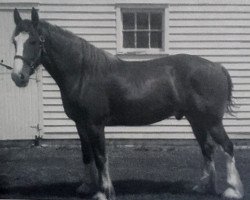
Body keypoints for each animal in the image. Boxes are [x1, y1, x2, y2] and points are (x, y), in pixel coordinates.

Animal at [10, 7, 243, 200]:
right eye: (14, 41)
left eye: (33, 41)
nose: (17, 77)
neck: (83, 72)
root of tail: (217, 66)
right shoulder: (81, 125)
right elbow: (87, 154)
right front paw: (87, 187)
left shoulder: (95, 125)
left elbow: (100, 156)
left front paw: (104, 192)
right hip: (197, 120)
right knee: (207, 148)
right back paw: (205, 187)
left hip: (212, 121)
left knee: (227, 147)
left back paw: (232, 190)